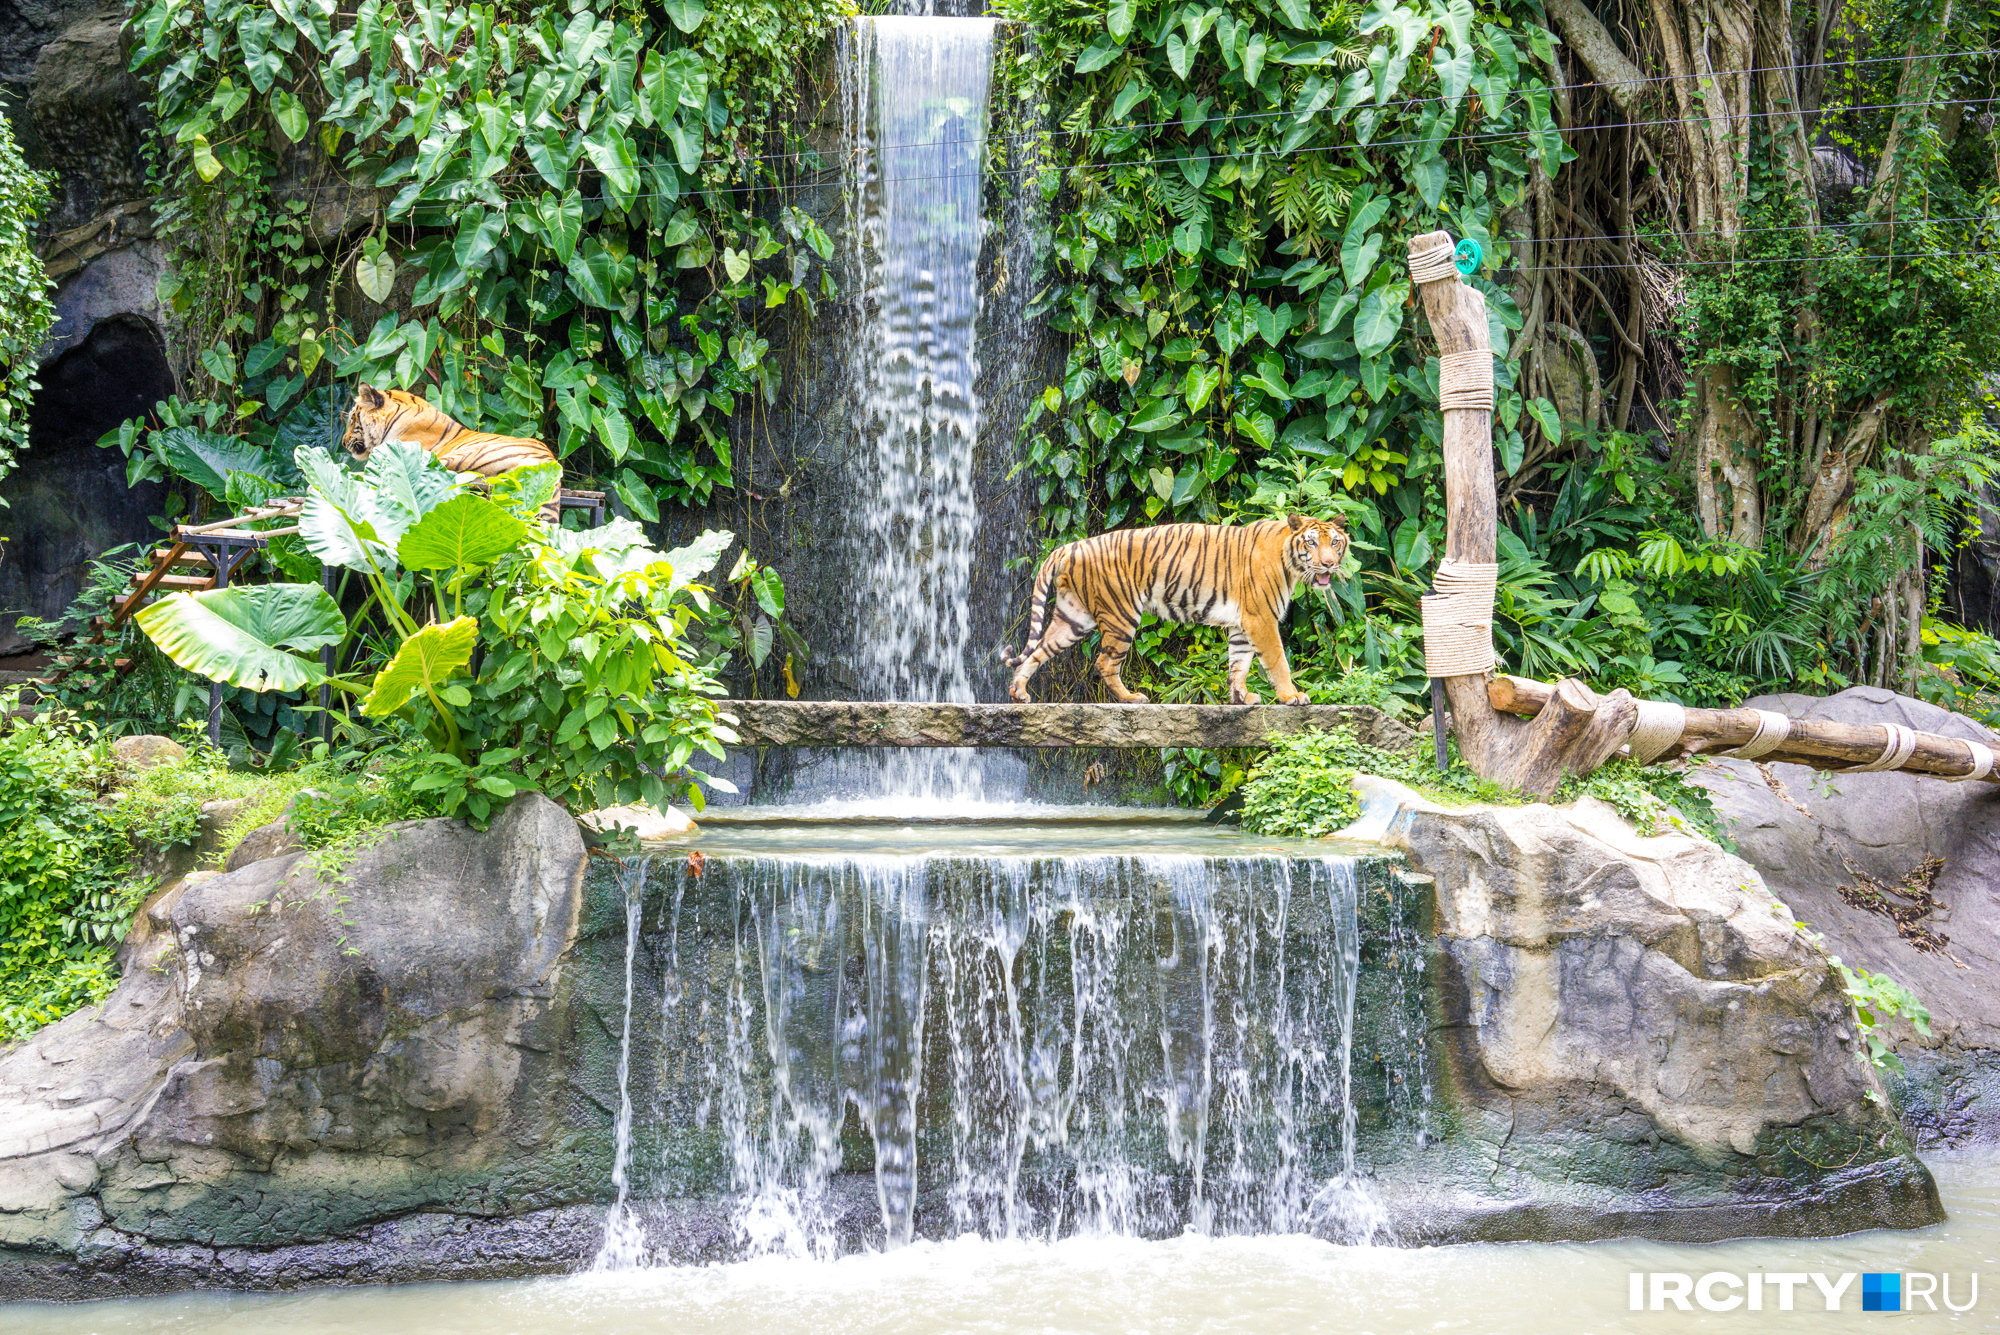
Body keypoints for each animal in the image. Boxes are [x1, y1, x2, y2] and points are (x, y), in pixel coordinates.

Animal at [1008, 515, 1352, 707]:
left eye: (1335, 542)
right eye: (1311, 543)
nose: (1328, 564)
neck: (1289, 562)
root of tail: (1072, 546)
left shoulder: (1243, 624)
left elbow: (1239, 663)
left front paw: (1240, 698)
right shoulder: (1261, 618)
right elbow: (1278, 661)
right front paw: (1291, 697)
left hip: (1074, 616)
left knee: (1039, 650)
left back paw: (1019, 693)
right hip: (1120, 615)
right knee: (1104, 662)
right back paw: (1132, 699)